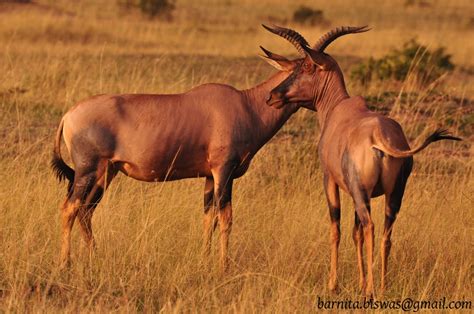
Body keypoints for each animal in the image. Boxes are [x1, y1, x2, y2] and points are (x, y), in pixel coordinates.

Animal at [51, 28, 314, 272]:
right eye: (302, 69)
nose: (273, 99)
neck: (245, 103)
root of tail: (69, 115)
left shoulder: (209, 176)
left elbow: (209, 218)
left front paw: (205, 261)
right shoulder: (223, 171)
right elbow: (226, 217)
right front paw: (223, 268)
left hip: (106, 173)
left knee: (86, 211)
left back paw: (94, 257)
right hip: (87, 171)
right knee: (70, 208)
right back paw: (65, 263)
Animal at [262, 25, 462, 296]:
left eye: (307, 67)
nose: (272, 96)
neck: (338, 109)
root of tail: (379, 136)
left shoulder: (331, 181)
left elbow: (336, 229)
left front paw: (334, 284)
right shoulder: (361, 193)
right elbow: (354, 233)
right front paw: (359, 281)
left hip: (361, 192)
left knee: (370, 227)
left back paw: (370, 290)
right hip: (393, 194)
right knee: (385, 233)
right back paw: (382, 286)